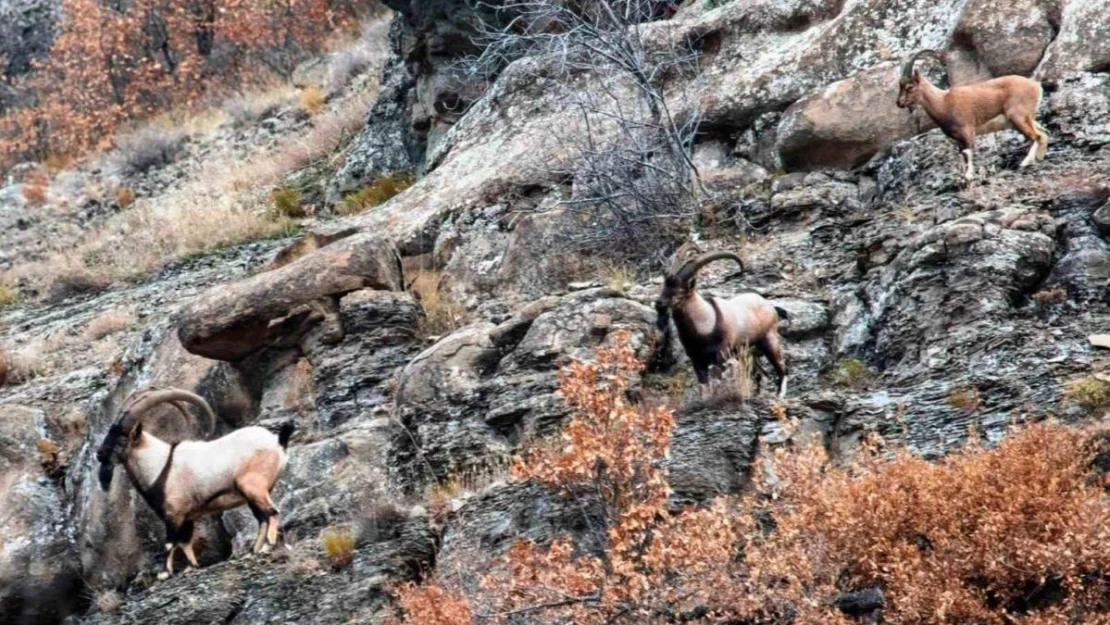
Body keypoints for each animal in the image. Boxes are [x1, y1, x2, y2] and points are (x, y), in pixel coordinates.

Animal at [96, 388, 295, 581]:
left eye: (122, 439)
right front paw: (191, 567)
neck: (160, 466)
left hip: (253, 486)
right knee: (262, 518)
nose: (100, 454)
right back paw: (252, 551)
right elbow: (185, 541)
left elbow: (170, 542)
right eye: (109, 433)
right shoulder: (187, 516)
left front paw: (164, 573)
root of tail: (278, 443)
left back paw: (266, 547)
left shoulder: (174, 513)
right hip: (255, 493)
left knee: (271, 512)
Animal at [648, 251, 790, 399]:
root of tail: (770, 307)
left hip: (770, 340)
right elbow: (705, 386)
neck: (705, 324)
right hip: (747, 354)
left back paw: (779, 395)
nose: (659, 303)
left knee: (782, 369)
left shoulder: (720, 355)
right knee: (760, 374)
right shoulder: (696, 360)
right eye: (665, 285)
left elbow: (718, 379)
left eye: (680, 289)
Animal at [892, 49, 1047, 178]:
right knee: (1044, 134)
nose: (899, 103)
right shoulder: (958, 140)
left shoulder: (966, 132)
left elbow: (969, 154)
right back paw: (1038, 158)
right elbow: (963, 155)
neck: (943, 102)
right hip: (1026, 119)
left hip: (1017, 117)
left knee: (1036, 136)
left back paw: (1025, 162)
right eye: (900, 86)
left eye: (910, 87)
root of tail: (1035, 85)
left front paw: (969, 176)